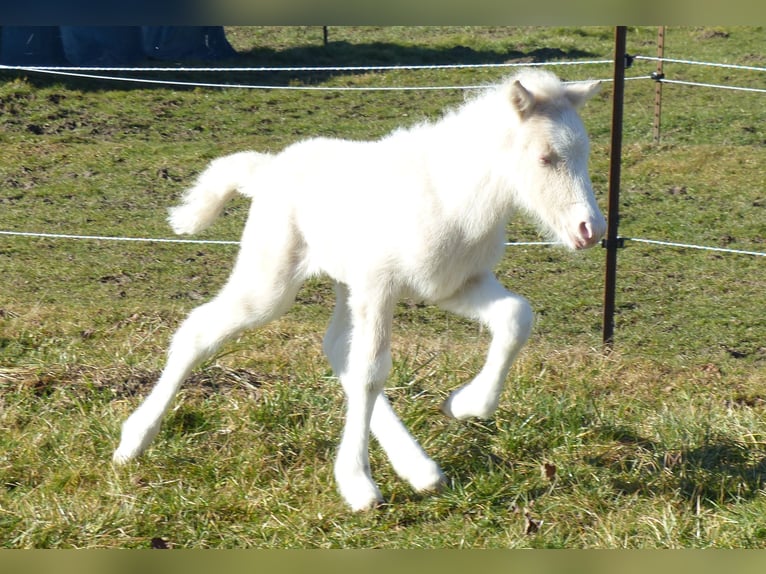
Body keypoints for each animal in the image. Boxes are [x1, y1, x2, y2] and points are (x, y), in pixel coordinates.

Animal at [113, 69, 606, 511]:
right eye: (545, 157)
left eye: (584, 154)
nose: (591, 230)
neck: (451, 197)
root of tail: (269, 168)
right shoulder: (378, 285)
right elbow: (371, 372)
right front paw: (356, 483)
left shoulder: (453, 285)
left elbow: (516, 317)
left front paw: (466, 405)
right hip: (273, 283)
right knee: (200, 330)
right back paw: (133, 441)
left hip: (342, 282)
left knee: (335, 347)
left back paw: (420, 469)